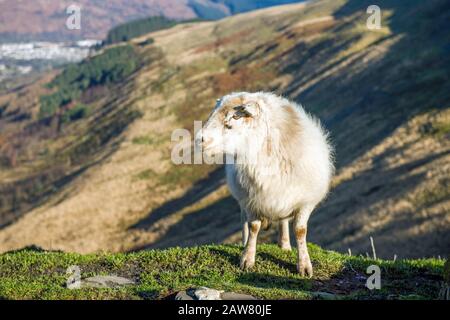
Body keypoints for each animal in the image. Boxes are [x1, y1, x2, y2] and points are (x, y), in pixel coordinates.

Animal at [197, 91, 334, 276]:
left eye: (234, 117)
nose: (199, 139)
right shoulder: (251, 201)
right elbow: (253, 226)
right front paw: (247, 258)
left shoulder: (305, 202)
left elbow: (300, 231)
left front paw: (304, 265)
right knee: (244, 221)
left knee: (283, 221)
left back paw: (284, 245)